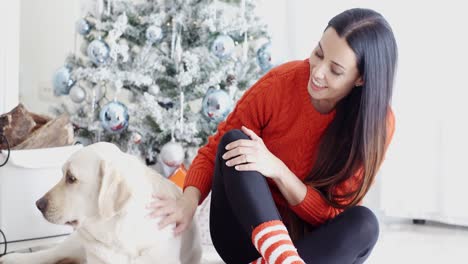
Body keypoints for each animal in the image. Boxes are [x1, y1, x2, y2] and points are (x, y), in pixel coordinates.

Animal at [0, 142, 201, 264]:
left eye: (71, 178)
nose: (38, 204)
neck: (117, 234)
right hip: (76, 241)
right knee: (48, 254)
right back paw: (13, 257)